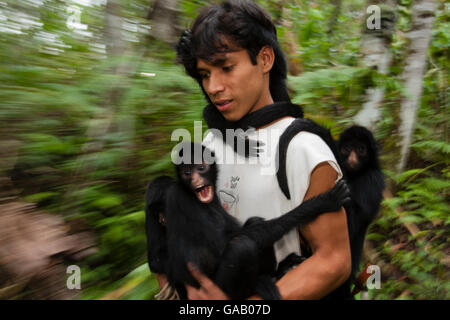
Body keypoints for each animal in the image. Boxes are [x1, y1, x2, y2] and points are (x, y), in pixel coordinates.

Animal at [146, 142, 350, 300]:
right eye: (187, 173)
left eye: (200, 168)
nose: (195, 179)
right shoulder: (181, 199)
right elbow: (228, 243)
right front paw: (321, 203)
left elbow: (248, 227)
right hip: (220, 286)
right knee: (241, 245)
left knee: (253, 224)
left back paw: (277, 272)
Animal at [276, 119, 384, 296]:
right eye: (347, 148)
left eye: (361, 149)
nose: (352, 158)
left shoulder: (372, 180)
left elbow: (351, 226)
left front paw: (319, 131)